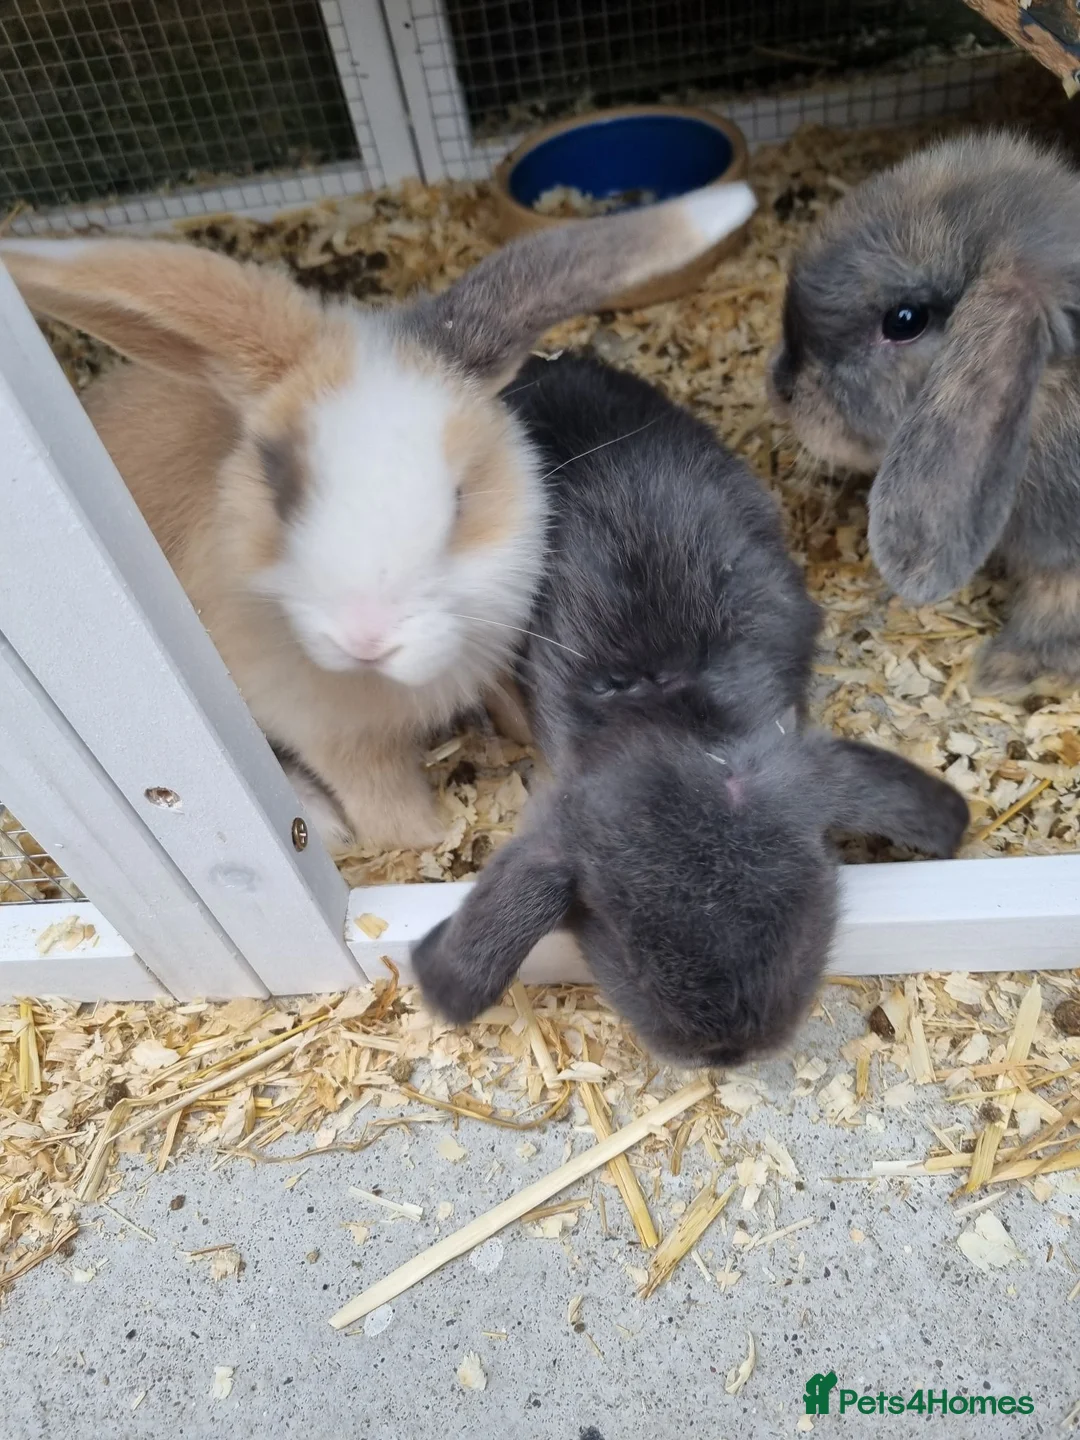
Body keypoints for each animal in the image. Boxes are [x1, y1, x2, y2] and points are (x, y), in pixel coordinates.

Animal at [0, 178, 755, 850]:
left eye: (460, 498)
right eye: (282, 489)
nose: (366, 638)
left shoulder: (494, 651)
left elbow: (516, 709)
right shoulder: (344, 742)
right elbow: (394, 818)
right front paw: (431, 840)